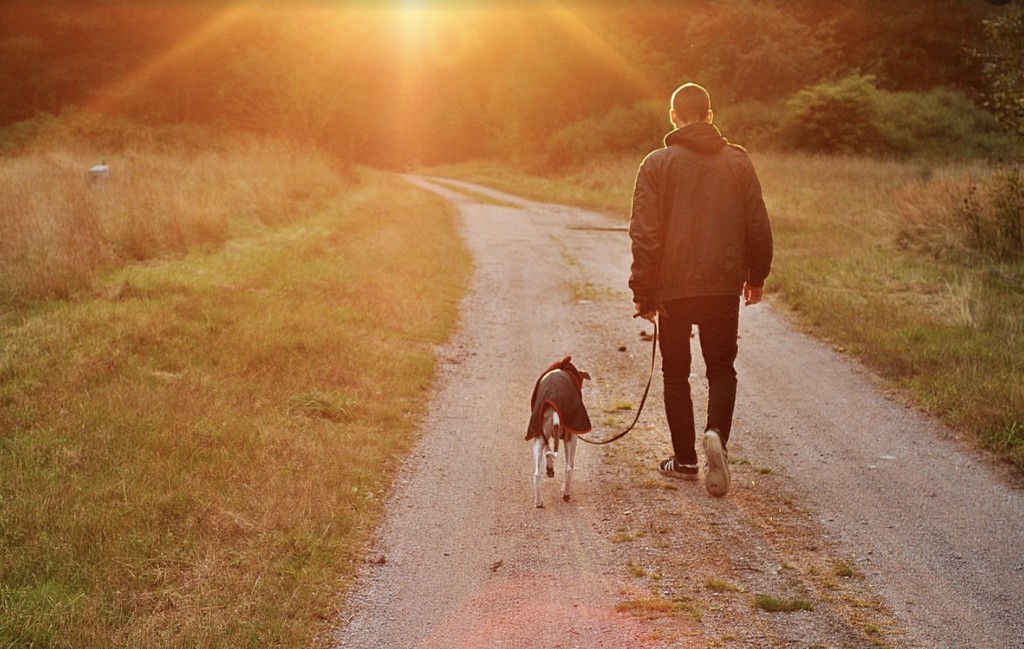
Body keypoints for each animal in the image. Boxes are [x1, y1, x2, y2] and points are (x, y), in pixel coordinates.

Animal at [528, 356, 593, 507]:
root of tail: (553, 405)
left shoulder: (544, 436)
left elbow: (548, 450)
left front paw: (550, 468)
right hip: (571, 437)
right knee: (569, 468)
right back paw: (566, 493)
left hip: (538, 438)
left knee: (537, 474)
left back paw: (538, 501)